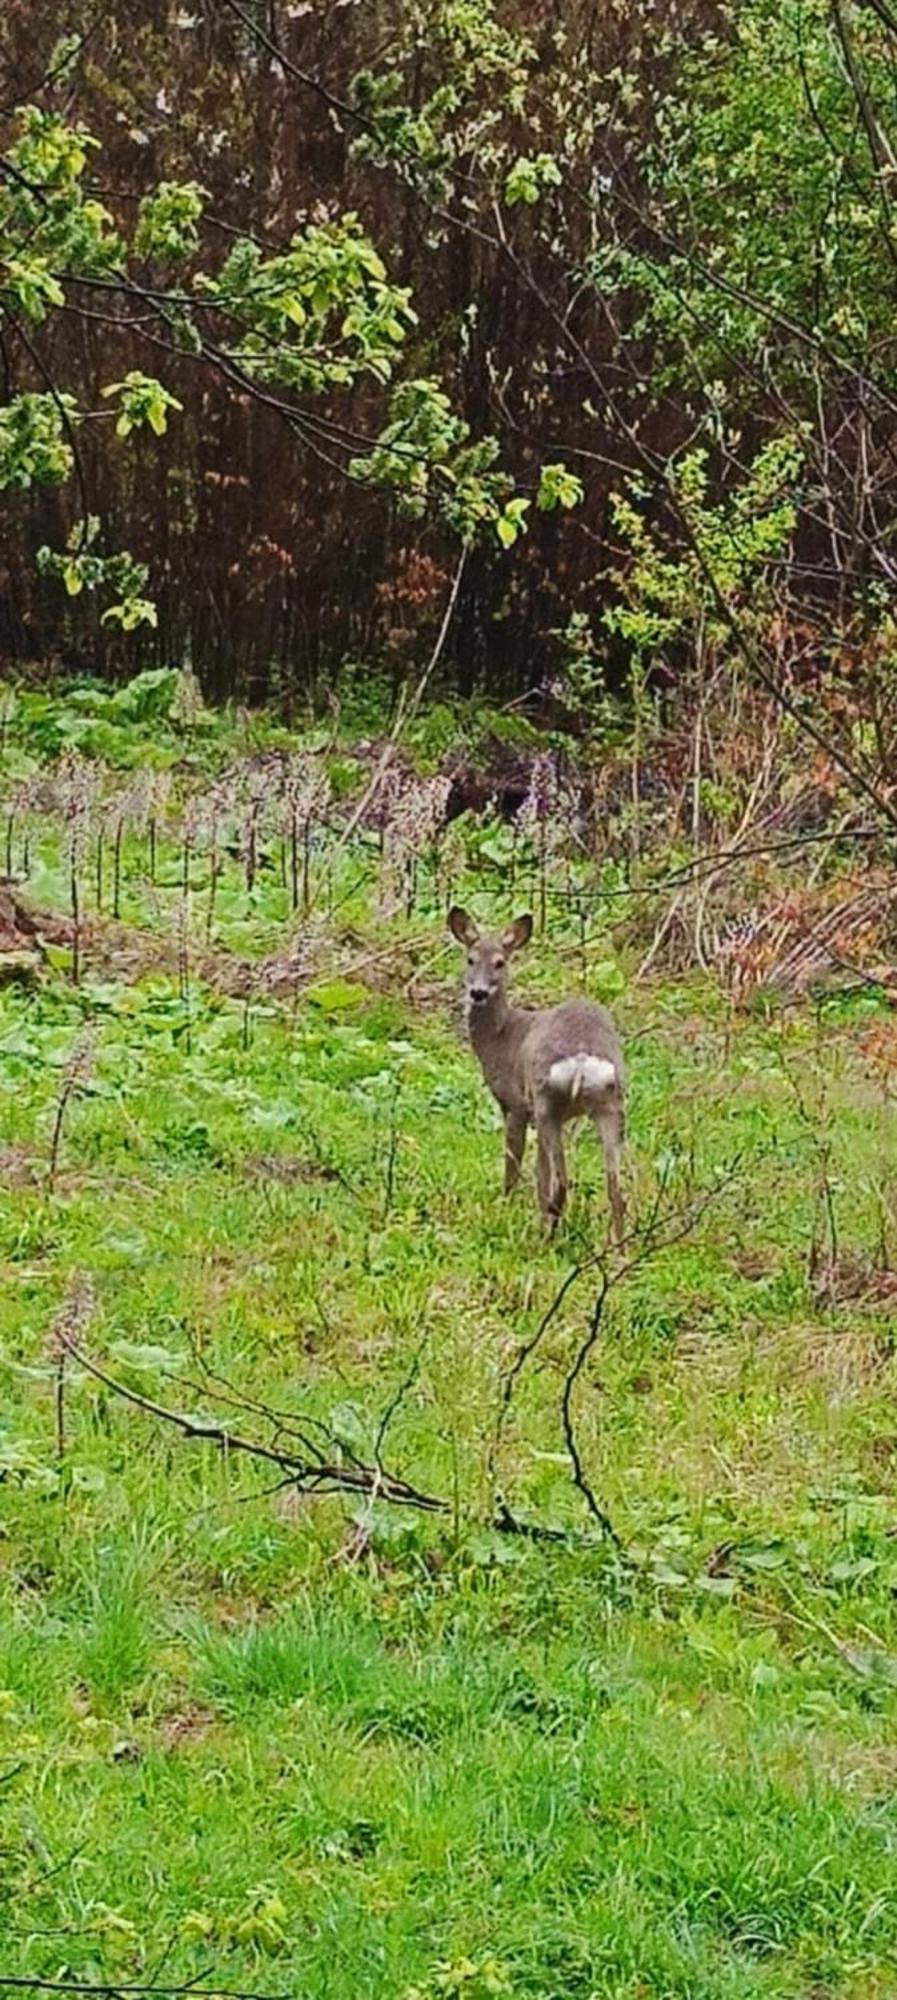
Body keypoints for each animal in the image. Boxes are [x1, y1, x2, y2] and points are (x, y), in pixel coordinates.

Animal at [448, 916, 624, 1240]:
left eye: (500, 962)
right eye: (470, 959)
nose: (478, 992)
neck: (501, 1037)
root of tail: (582, 1056)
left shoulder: (516, 1104)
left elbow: (514, 1164)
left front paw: (505, 1207)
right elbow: (539, 1171)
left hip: (546, 1100)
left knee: (562, 1179)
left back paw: (547, 1235)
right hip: (610, 1102)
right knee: (616, 1189)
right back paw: (616, 1244)